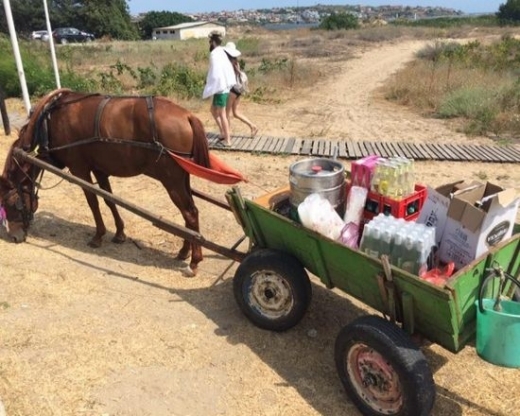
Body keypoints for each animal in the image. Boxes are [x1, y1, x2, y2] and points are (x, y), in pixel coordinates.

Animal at [0, 87, 211, 276]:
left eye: (10, 203)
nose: (14, 236)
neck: (50, 119)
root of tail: (187, 116)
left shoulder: (80, 170)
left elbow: (93, 202)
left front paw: (98, 236)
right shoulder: (99, 170)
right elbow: (109, 200)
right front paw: (119, 233)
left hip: (171, 181)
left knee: (190, 214)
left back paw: (194, 261)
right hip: (182, 180)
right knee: (189, 214)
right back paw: (184, 251)